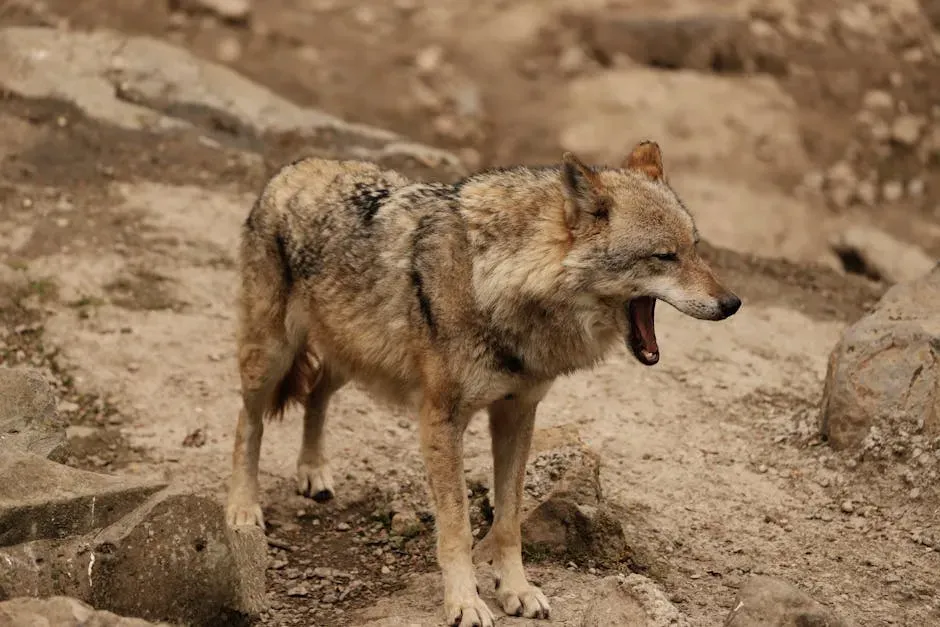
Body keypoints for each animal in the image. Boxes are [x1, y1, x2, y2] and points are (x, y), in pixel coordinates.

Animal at [225, 141, 741, 626]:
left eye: (696, 248)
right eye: (665, 256)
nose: (732, 303)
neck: (495, 280)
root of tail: (296, 166)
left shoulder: (517, 412)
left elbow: (508, 520)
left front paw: (517, 590)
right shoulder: (441, 419)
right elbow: (456, 526)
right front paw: (464, 603)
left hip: (349, 358)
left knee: (315, 394)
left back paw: (313, 471)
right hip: (271, 358)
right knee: (247, 422)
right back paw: (243, 509)